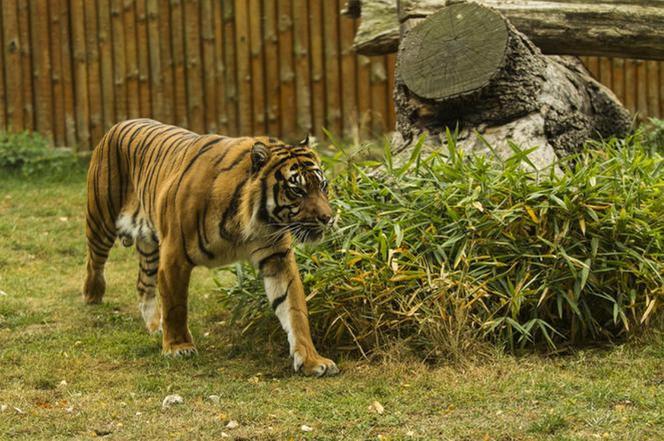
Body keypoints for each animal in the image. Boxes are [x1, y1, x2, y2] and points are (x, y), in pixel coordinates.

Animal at [84, 118, 338, 376]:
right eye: (297, 190)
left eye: (323, 186)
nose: (328, 218)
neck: (253, 220)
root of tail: (119, 124)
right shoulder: (174, 255)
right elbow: (176, 305)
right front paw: (178, 347)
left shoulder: (277, 257)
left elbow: (294, 309)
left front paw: (311, 359)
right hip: (101, 219)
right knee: (94, 260)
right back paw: (92, 295)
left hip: (149, 244)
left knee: (143, 284)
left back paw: (156, 326)